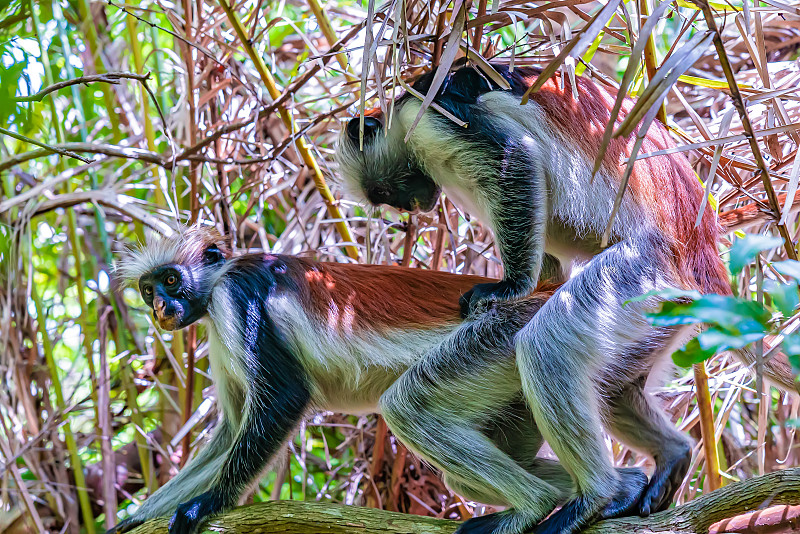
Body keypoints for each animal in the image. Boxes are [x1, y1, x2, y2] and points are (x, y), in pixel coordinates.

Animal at [334, 63, 796, 534]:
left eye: (384, 193)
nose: (414, 206)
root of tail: (700, 250)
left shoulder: (427, 118)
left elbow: (515, 156)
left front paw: (508, 288)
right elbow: (550, 264)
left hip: (643, 270)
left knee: (547, 346)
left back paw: (595, 497)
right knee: (613, 385)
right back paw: (670, 456)